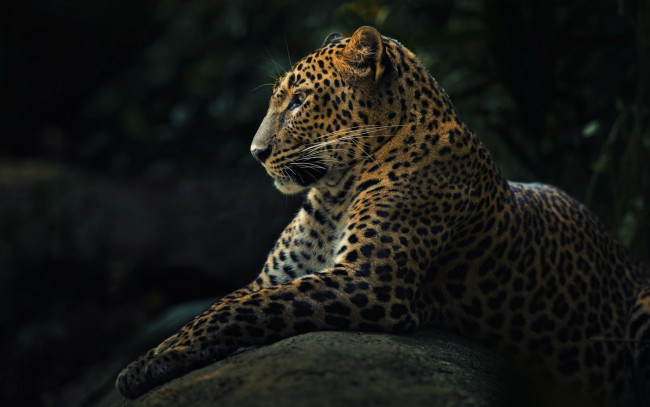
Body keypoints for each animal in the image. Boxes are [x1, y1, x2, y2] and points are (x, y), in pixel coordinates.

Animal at [116, 26, 650, 406]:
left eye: (299, 100)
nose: (256, 153)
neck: (333, 195)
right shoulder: (274, 276)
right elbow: (220, 305)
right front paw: (152, 358)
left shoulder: (369, 282)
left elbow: (239, 308)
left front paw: (148, 366)